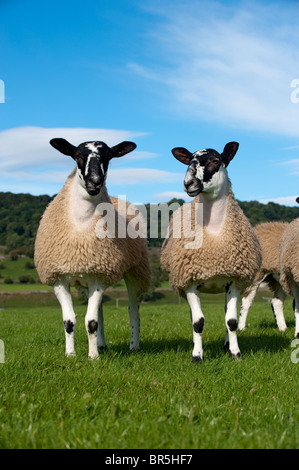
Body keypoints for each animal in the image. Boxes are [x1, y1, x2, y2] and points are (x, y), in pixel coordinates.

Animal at [34, 138, 151, 358]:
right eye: (77, 155)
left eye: (109, 156)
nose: (95, 181)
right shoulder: (59, 279)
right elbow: (70, 321)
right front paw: (71, 355)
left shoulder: (99, 276)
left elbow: (91, 322)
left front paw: (93, 357)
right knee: (100, 310)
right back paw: (102, 344)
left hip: (135, 270)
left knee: (133, 309)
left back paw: (134, 345)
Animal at [162, 141, 262, 362]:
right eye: (189, 161)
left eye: (216, 161)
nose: (189, 183)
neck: (215, 234)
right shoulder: (190, 282)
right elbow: (198, 322)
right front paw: (197, 355)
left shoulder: (235, 279)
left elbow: (231, 321)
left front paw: (235, 353)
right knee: (194, 316)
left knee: (227, 313)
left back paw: (226, 345)